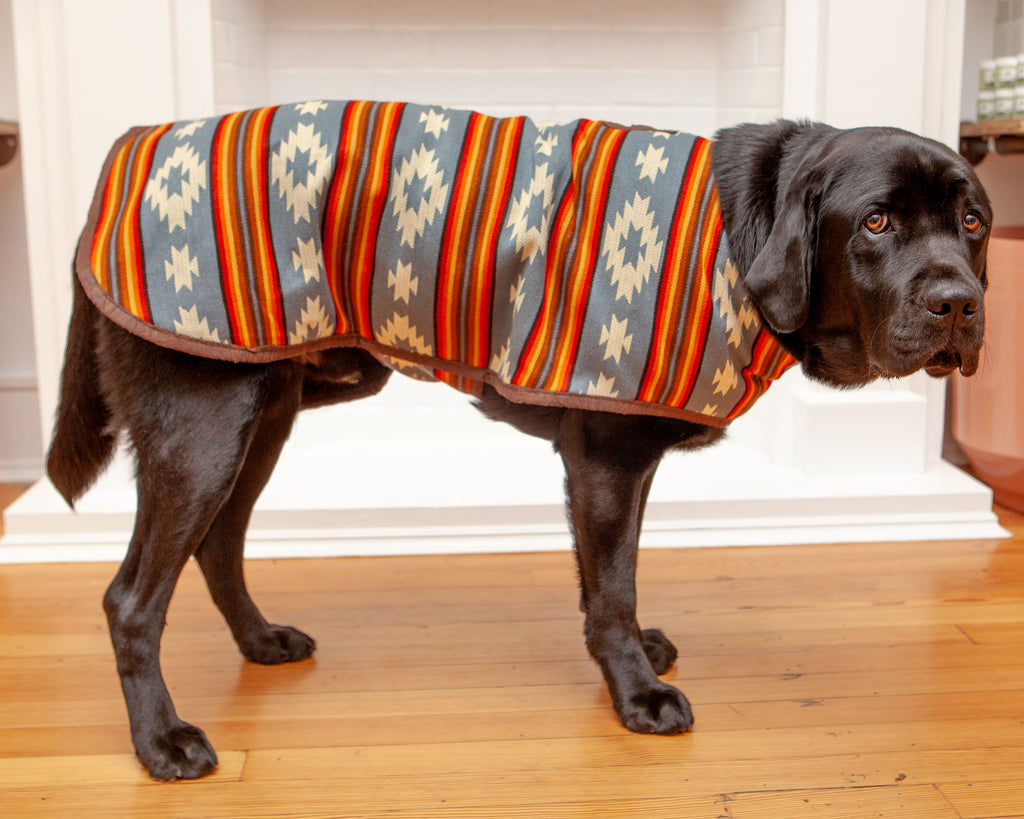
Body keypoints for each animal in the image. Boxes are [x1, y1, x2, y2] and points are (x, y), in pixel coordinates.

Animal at [47, 102, 991, 780]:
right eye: (876, 222)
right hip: (205, 429)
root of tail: (126, 147)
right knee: (133, 598)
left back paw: (260, 642)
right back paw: (161, 742)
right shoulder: (607, 454)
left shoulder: (612, 459)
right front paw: (636, 694)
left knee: (219, 546)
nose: (960, 303)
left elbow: (606, 576)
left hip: (264, 412)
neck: (740, 231)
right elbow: (611, 586)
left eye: (974, 223)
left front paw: (635, 655)